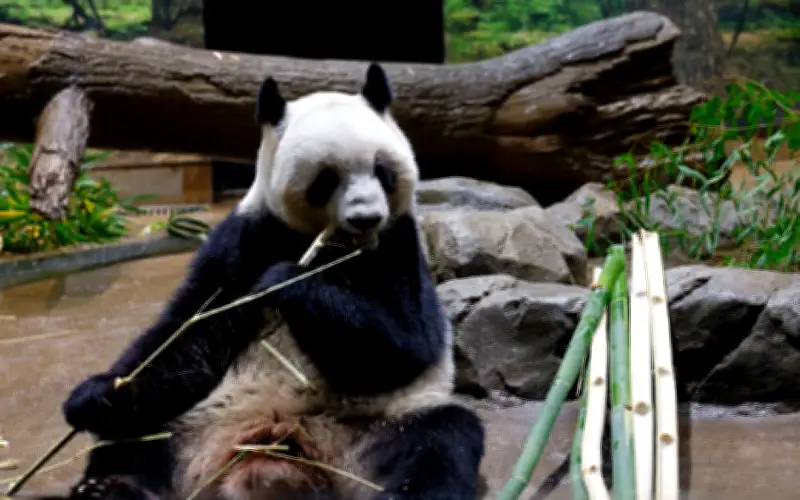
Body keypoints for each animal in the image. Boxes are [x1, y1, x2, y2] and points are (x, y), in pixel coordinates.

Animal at [54, 63, 485, 500]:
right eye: (326, 180)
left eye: (383, 171)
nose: (366, 218)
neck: (330, 246)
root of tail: (276, 448)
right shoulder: (245, 239)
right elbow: (188, 336)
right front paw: (96, 394)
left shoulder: (397, 245)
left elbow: (406, 345)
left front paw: (285, 280)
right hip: (195, 425)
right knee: (137, 438)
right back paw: (109, 488)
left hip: (372, 431)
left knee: (438, 439)